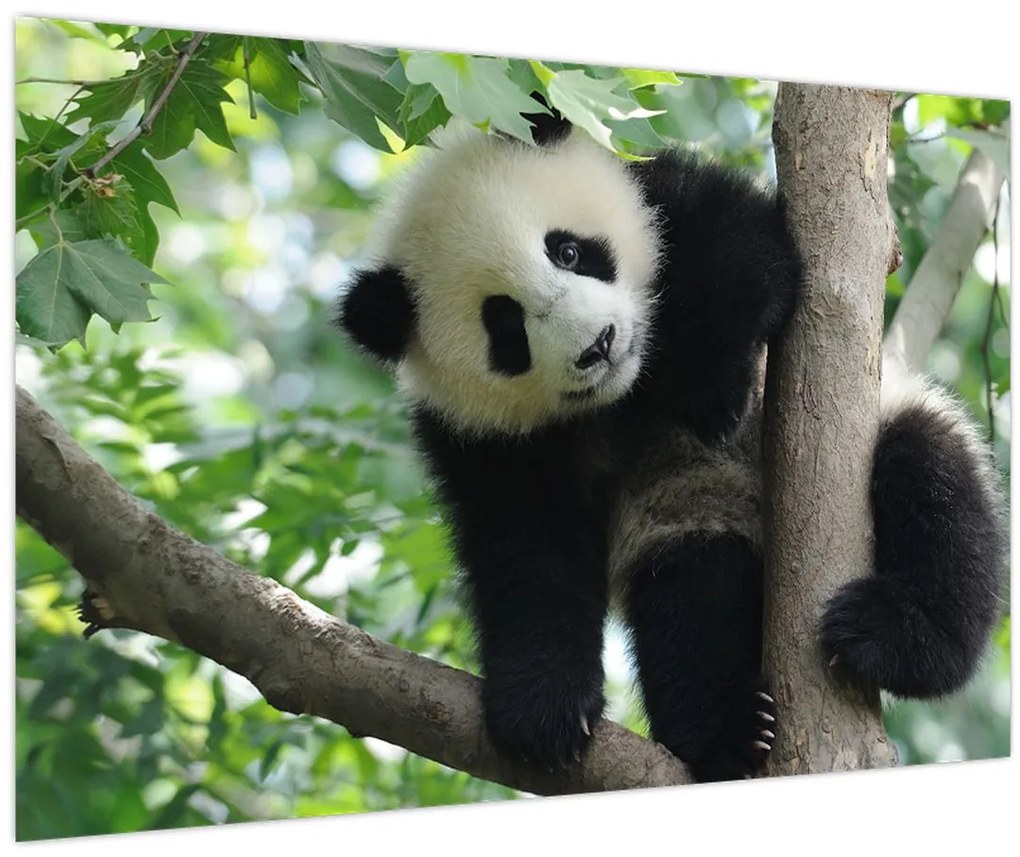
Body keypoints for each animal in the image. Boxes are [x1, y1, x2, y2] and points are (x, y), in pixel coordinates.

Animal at [336, 109, 1006, 783]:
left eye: (569, 251)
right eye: (505, 326)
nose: (598, 345)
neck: (625, 394)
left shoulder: (662, 198)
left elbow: (744, 248)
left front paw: (711, 392)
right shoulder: (481, 437)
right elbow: (527, 550)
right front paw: (543, 709)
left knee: (933, 490)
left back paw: (890, 636)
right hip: (689, 519)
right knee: (691, 603)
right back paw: (727, 731)